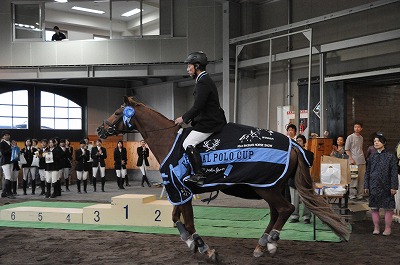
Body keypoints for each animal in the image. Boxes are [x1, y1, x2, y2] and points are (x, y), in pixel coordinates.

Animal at [97, 95, 350, 260]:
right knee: (277, 212)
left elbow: (188, 220)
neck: (169, 140)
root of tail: (294, 145)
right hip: (272, 187)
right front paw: (189, 241)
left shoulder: (180, 190)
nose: (100, 129)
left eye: (118, 113)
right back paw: (262, 244)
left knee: (285, 209)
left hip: (266, 188)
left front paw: (204, 247)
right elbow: (175, 216)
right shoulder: (178, 190)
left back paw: (270, 243)